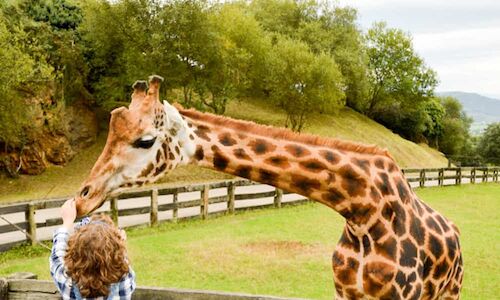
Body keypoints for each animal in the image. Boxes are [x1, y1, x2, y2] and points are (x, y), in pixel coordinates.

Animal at [76, 76, 462, 298]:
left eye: (145, 140)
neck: (361, 210)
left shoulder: (401, 295)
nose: (83, 198)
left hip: (449, 290)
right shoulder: (346, 291)